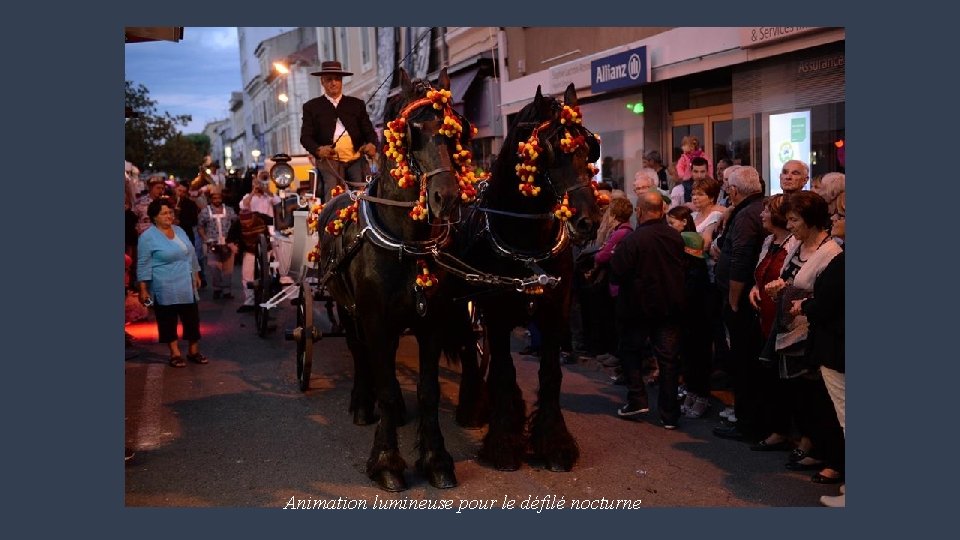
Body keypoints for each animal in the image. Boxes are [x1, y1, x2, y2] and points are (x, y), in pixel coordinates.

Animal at [313, 68, 471, 491]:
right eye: (410, 131)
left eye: (456, 128)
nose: (447, 197)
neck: (406, 241)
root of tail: (343, 192)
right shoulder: (374, 319)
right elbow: (382, 385)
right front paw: (387, 462)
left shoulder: (432, 323)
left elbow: (429, 391)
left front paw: (436, 459)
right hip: (347, 309)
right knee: (359, 352)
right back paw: (360, 403)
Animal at [436, 83, 603, 472]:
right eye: (549, 150)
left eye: (588, 149)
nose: (588, 221)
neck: (527, 246)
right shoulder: (496, 315)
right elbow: (504, 371)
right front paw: (503, 442)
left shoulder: (555, 312)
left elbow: (551, 373)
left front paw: (553, 442)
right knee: (469, 347)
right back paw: (473, 407)